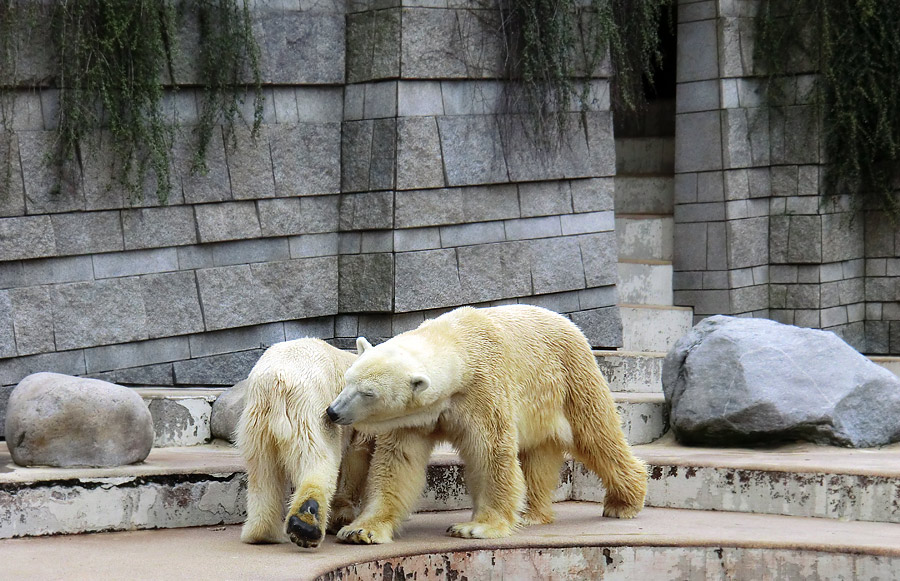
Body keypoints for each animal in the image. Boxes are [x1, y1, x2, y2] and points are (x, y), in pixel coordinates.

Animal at [237, 338, 374, 548]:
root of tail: (277, 382)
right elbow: (356, 457)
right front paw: (342, 517)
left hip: (257, 420)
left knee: (263, 471)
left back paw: (263, 534)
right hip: (310, 410)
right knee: (318, 459)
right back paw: (306, 524)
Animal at [326, 304, 652, 544]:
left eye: (369, 393)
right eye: (348, 380)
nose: (332, 411)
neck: (456, 341)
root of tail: (570, 324)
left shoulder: (482, 390)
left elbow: (490, 453)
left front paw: (475, 527)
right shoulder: (413, 417)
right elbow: (397, 462)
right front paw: (361, 530)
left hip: (571, 377)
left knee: (596, 435)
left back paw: (623, 503)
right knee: (537, 455)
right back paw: (532, 513)